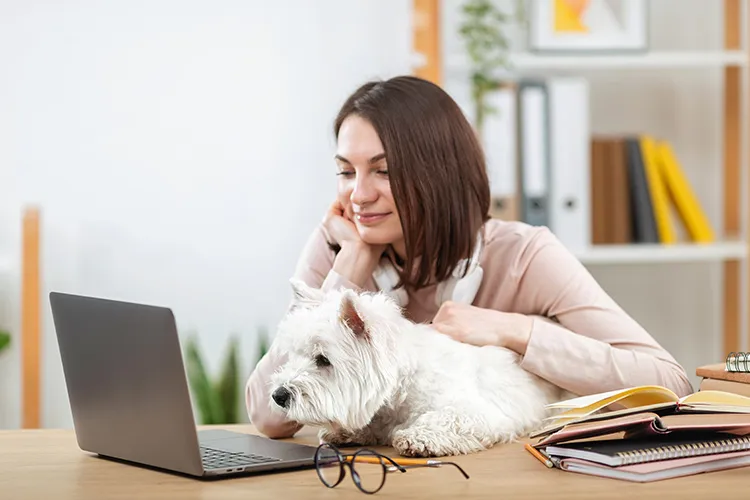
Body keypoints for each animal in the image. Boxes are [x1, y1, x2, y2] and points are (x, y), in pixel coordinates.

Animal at [268, 280, 568, 458]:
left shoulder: (480, 412)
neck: (400, 389)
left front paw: (416, 438)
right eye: (294, 354)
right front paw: (346, 432)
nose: (278, 396)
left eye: (322, 360)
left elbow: (447, 418)